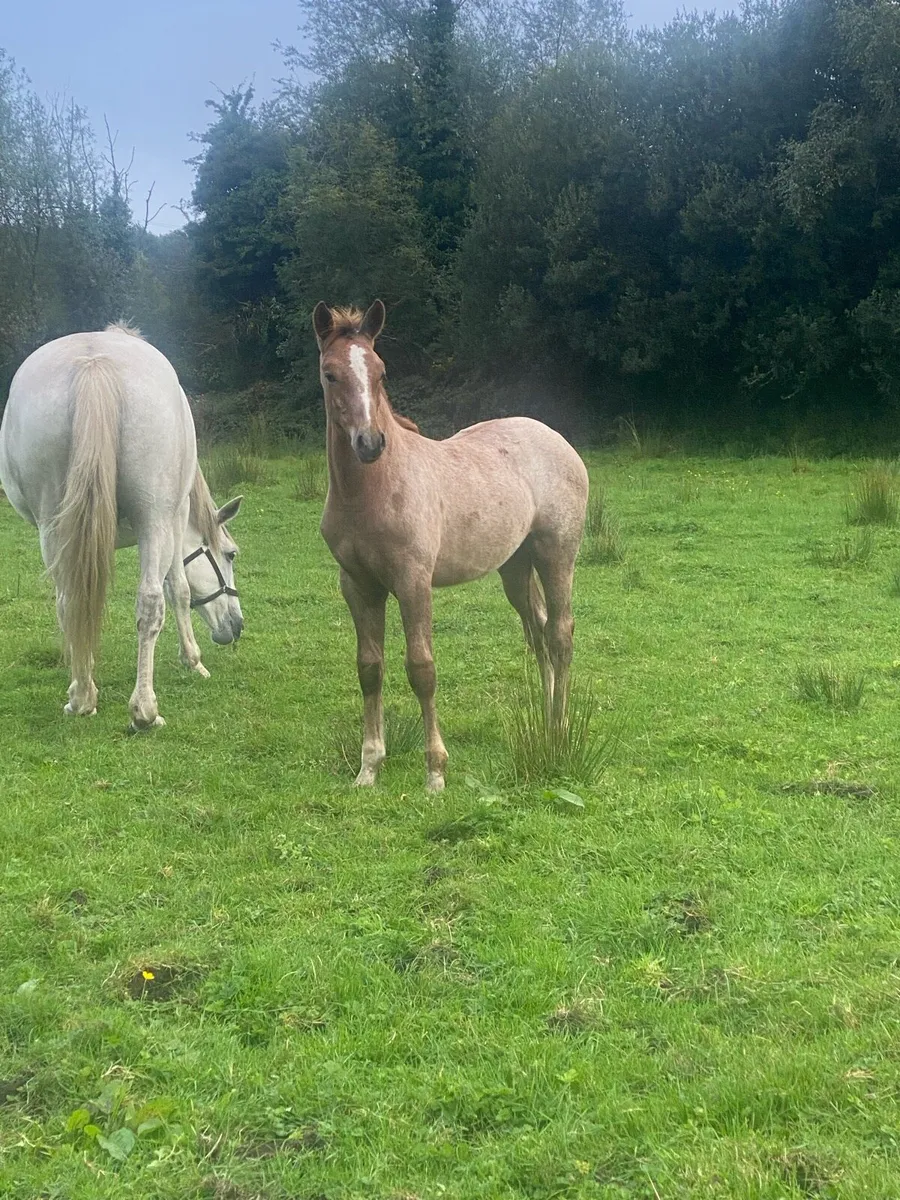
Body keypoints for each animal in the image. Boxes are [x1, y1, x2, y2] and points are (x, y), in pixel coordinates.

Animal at [0, 322, 244, 729]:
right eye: (230, 554)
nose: (237, 626)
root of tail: (95, 364)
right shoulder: (174, 520)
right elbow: (178, 589)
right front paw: (193, 660)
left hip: (52, 525)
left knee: (69, 602)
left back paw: (82, 696)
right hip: (155, 518)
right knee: (151, 603)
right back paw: (144, 710)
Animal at [313, 300, 589, 793]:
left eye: (381, 372)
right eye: (331, 374)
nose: (370, 443)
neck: (371, 492)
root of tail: (556, 438)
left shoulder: (413, 582)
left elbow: (422, 670)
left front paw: (435, 772)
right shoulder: (358, 586)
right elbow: (369, 669)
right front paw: (369, 767)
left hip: (557, 554)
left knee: (560, 632)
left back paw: (558, 728)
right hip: (515, 567)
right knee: (537, 630)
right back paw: (543, 715)